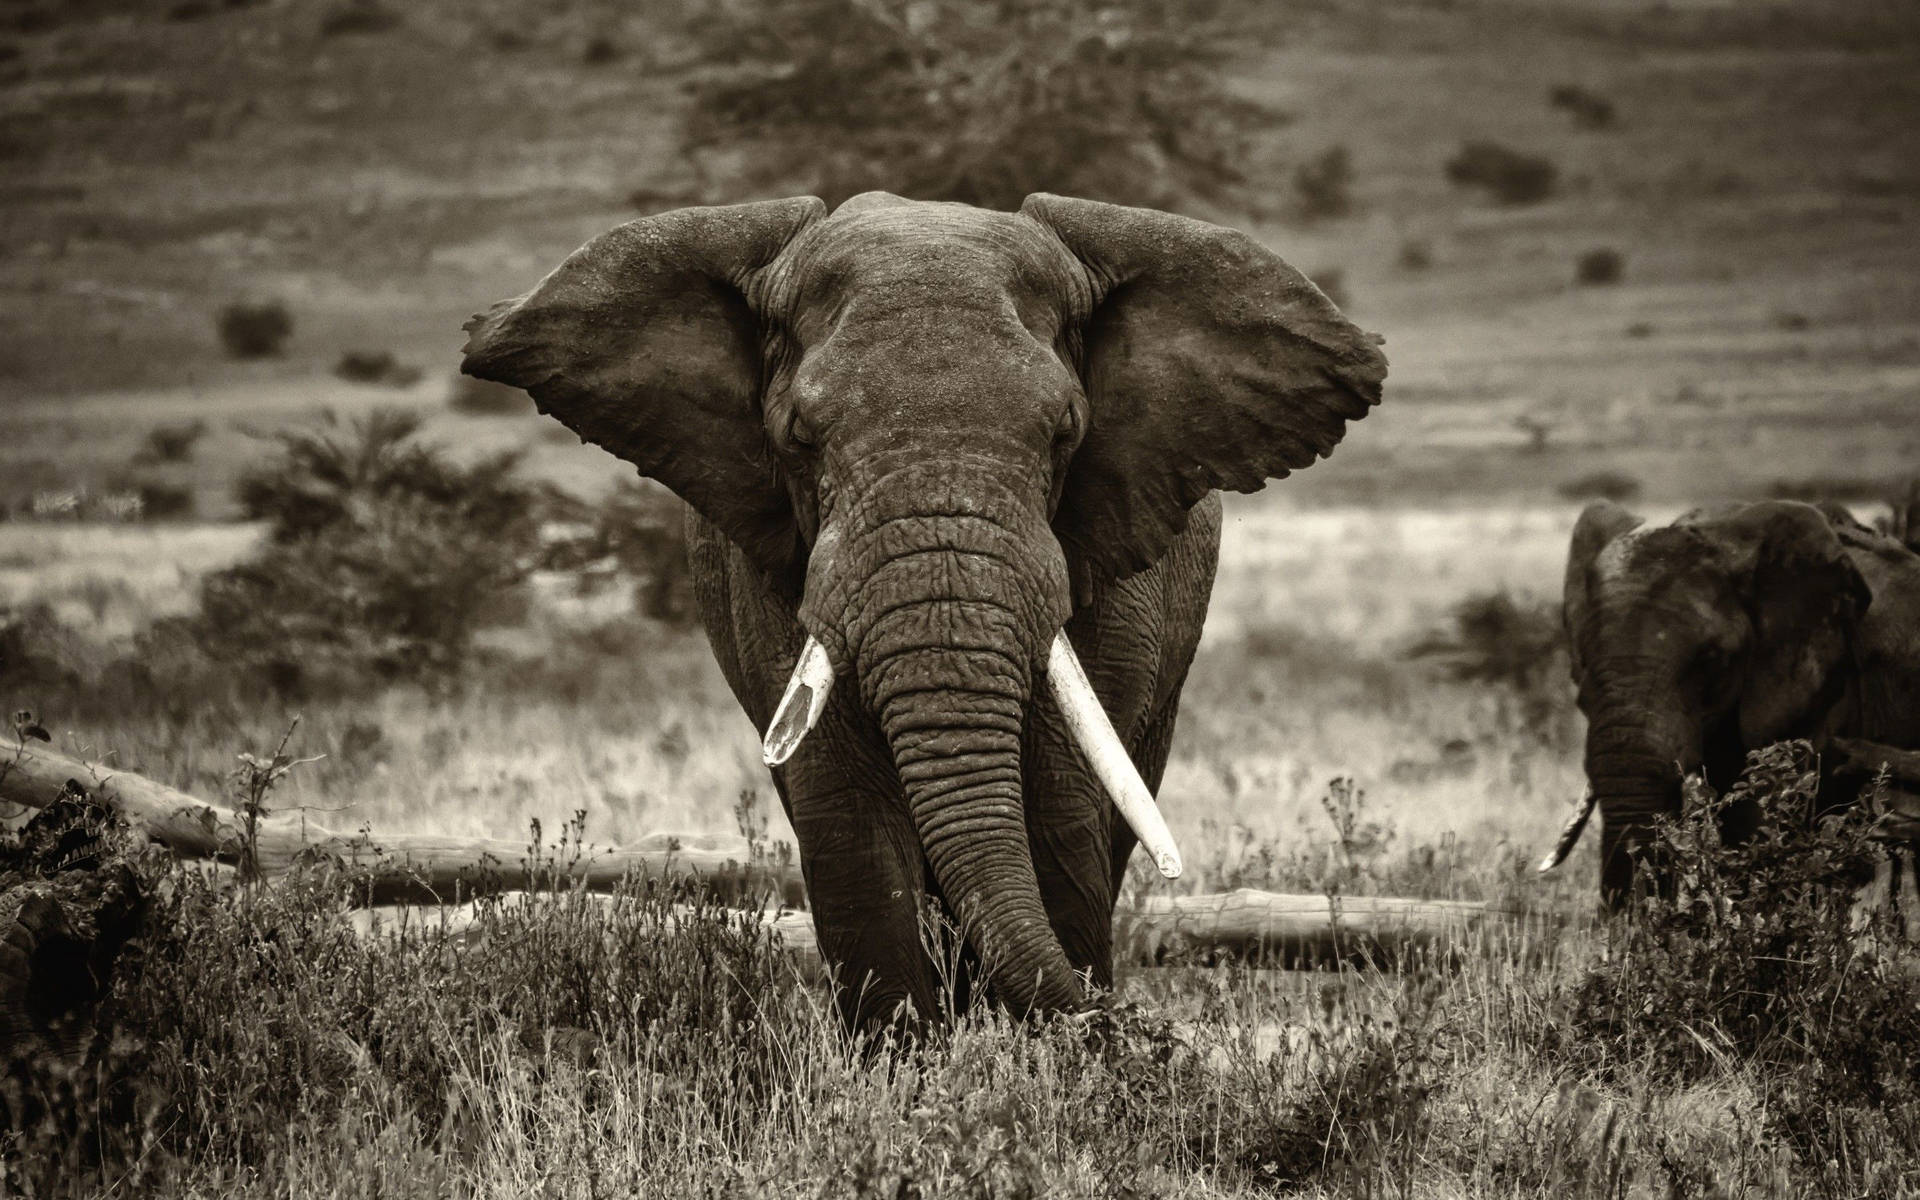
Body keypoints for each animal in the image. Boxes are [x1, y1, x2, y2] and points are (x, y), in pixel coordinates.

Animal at [464, 192, 1397, 1021]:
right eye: (799, 438)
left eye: (1065, 433)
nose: (1128, 1026)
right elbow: (850, 825)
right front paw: (907, 1077)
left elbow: (1057, 811)